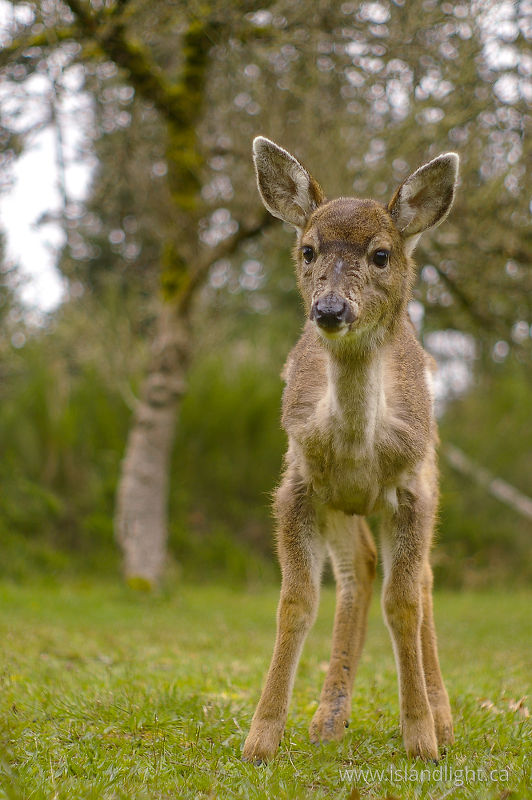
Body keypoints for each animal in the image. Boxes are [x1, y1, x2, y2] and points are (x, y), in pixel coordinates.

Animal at [242, 137, 459, 764]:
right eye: (308, 250)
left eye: (381, 254)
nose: (331, 310)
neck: (360, 450)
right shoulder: (298, 484)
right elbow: (296, 601)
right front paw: (261, 737)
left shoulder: (411, 489)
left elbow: (403, 602)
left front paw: (421, 738)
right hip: (341, 506)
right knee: (358, 569)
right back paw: (327, 718)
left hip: (431, 474)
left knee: (422, 580)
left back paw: (443, 717)